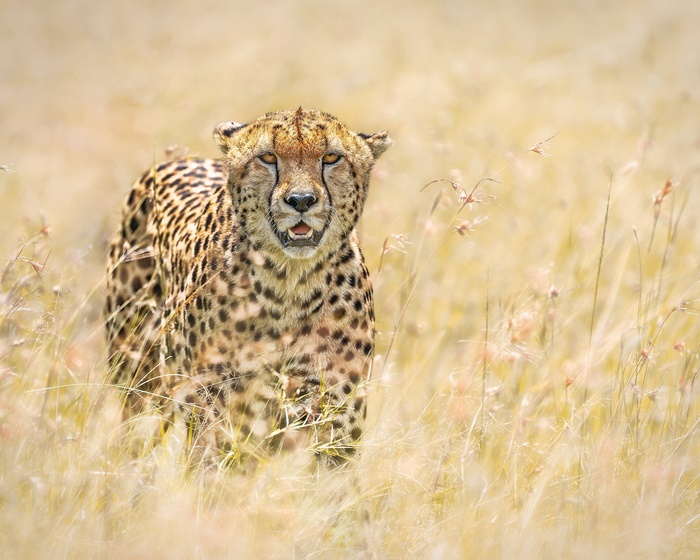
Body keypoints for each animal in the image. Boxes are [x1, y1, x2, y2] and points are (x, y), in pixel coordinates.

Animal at [105, 108, 391, 467]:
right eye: (267, 157)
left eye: (331, 157)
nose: (301, 201)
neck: (290, 283)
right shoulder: (219, 405)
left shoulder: (336, 410)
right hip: (137, 375)